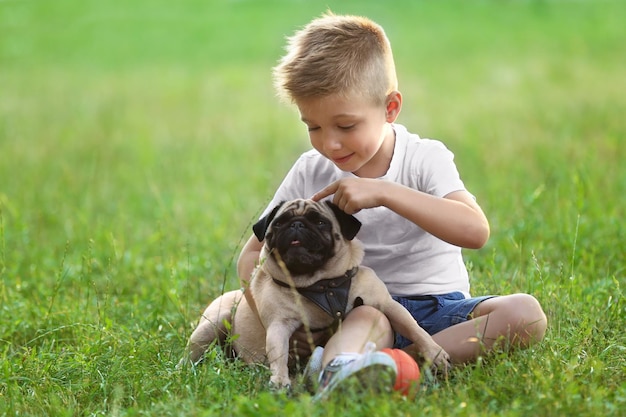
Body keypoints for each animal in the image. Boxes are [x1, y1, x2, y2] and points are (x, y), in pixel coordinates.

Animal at [180, 198, 448, 386]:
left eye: (320, 222)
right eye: (279, 223)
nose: (296, 224)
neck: (320, 283)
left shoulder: (386, 304)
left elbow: (413, 327)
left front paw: (435, 353)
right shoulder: (279, 326)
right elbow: (278, 354)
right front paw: (280, 381)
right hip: (214, 322)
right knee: (193, 352)